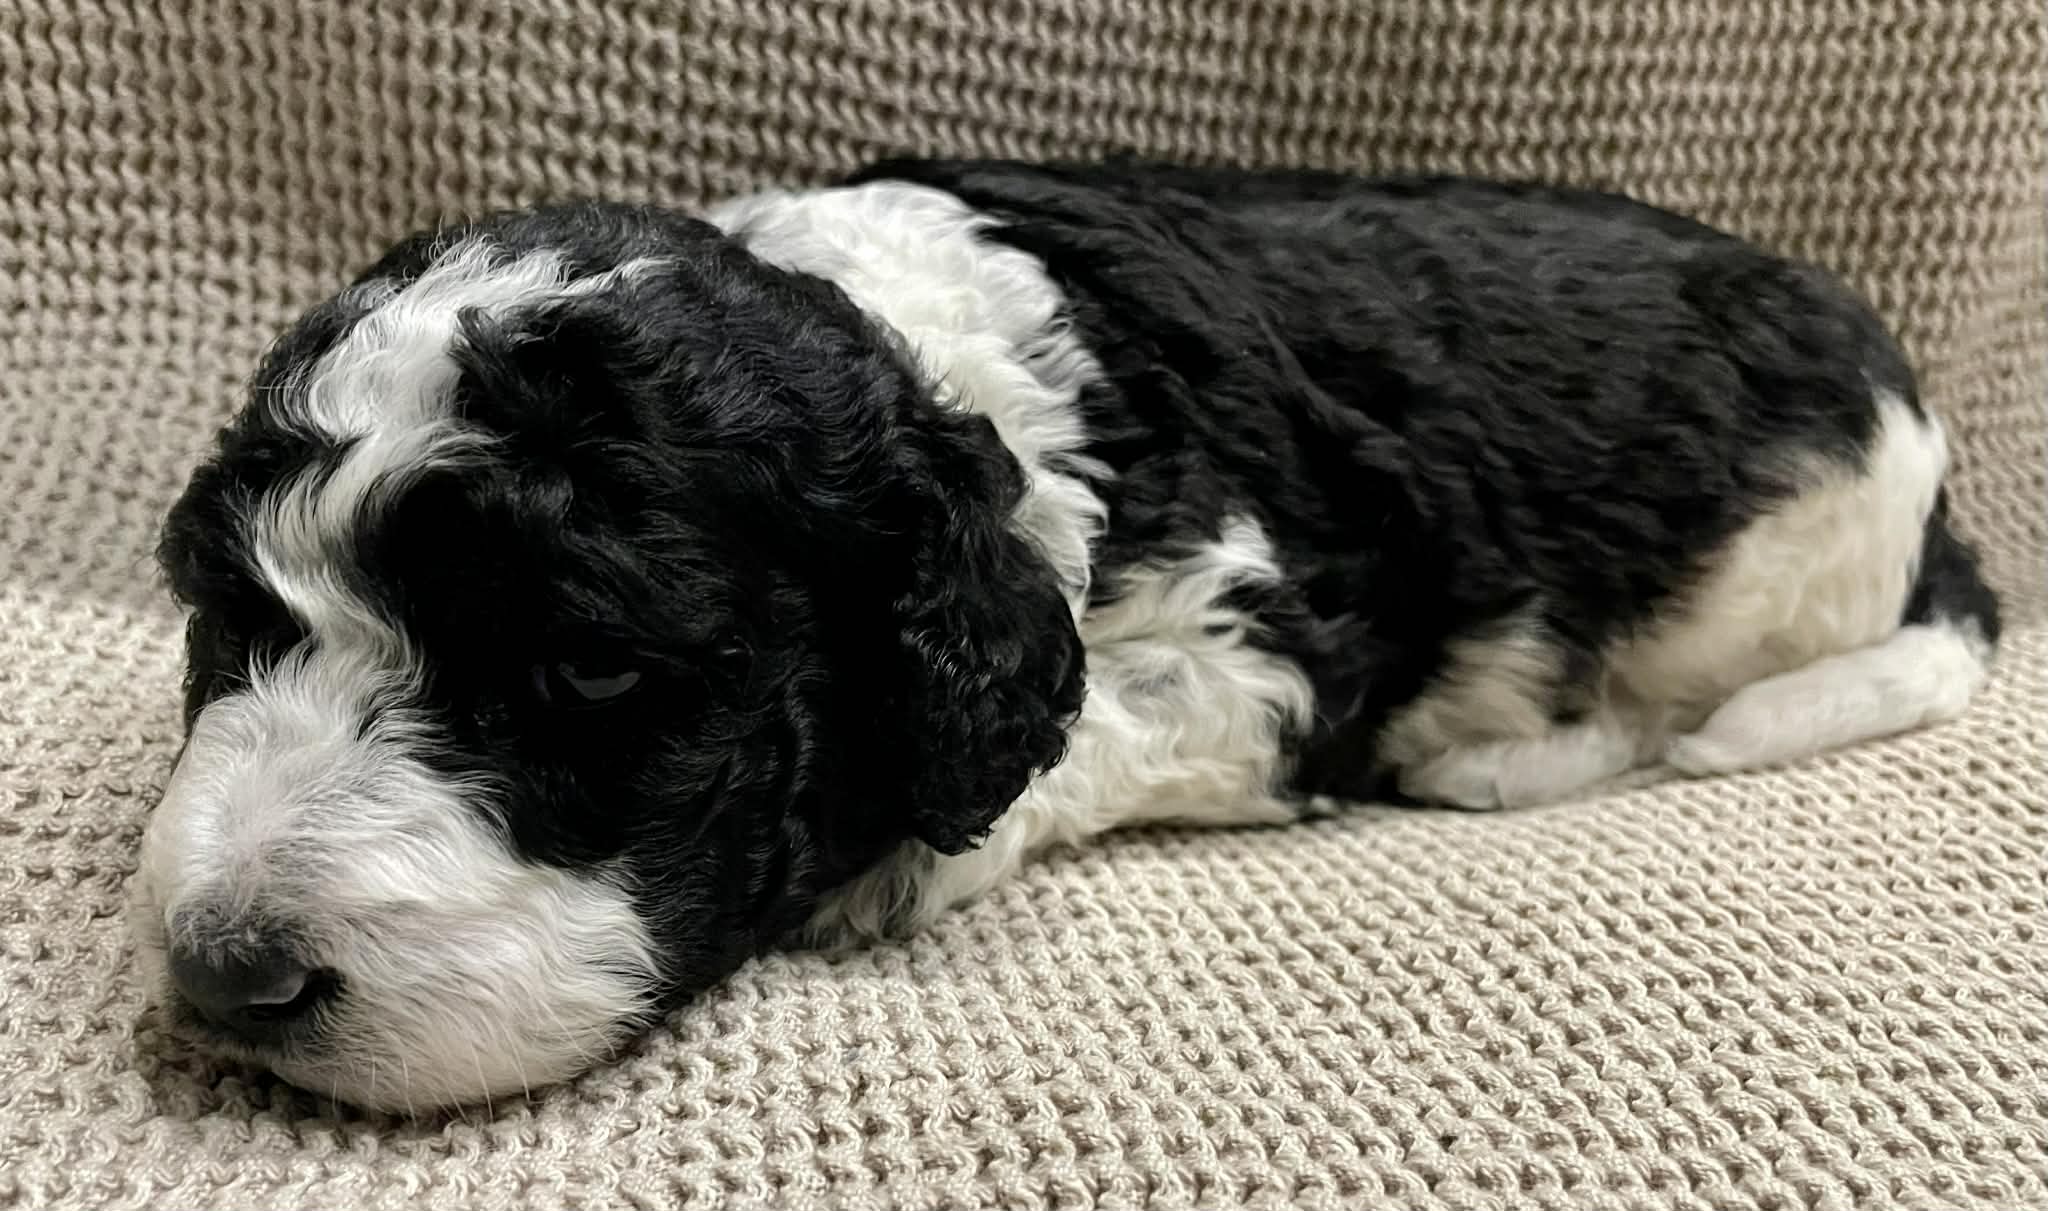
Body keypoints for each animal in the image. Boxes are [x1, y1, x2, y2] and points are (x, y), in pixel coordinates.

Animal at [133, 158, 2000, 1111]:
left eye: (589, 660)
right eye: (226, 614)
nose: (227, 976)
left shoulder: (1265, 643)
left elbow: (1087, 724)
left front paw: (898, 861)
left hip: (1781, 561)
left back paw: (1506, 753)